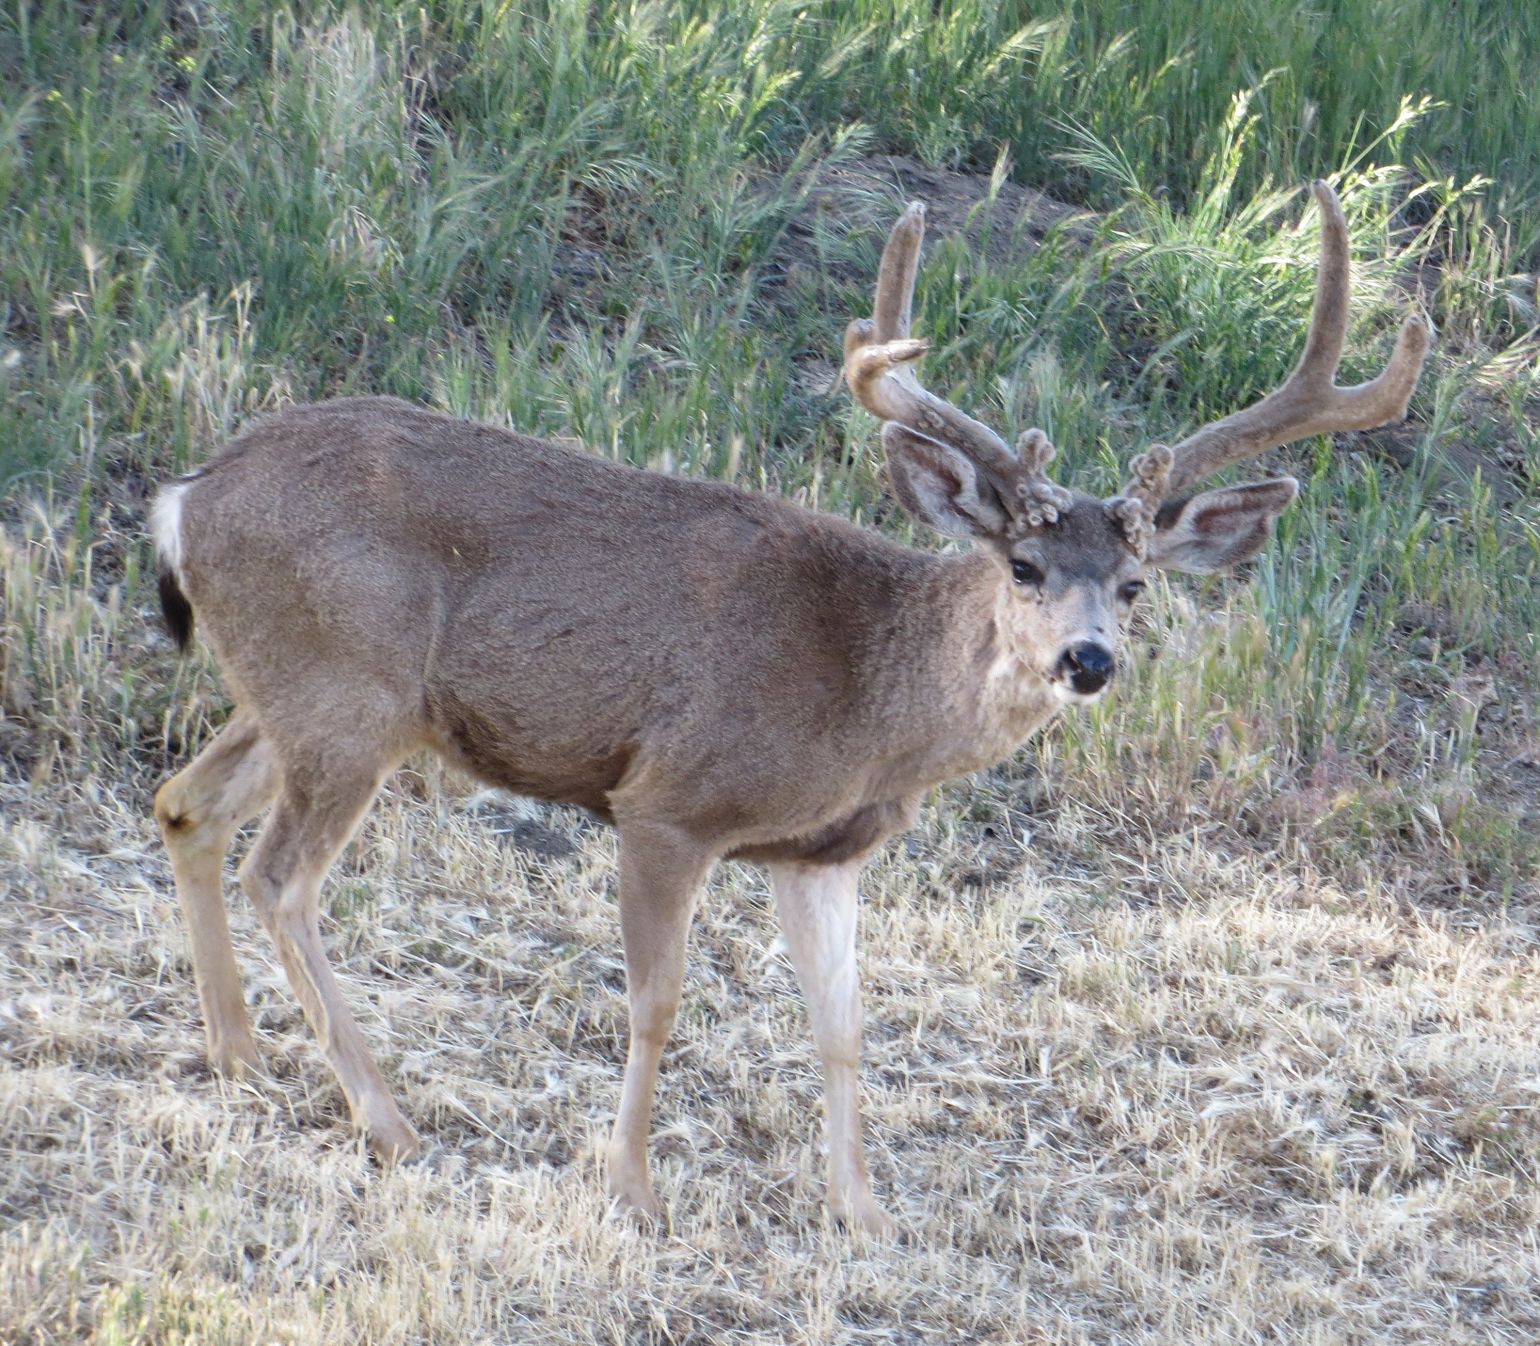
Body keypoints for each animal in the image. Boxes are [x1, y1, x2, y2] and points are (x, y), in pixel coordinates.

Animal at [150, 183, 1422, 1232]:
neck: (864, 695)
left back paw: (238, 1052)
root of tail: (185, 494)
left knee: (183, 801)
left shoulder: (822, 851)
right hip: (346, 694)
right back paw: (388, 1118)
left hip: (300, 693)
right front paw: (633, 1190)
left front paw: (861, 1211)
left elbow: (843, 1022)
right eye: (1020, 564)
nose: (1088, 660)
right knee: (282, 875)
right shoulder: (667, 800)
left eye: (1136, 581)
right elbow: (656, 1001)